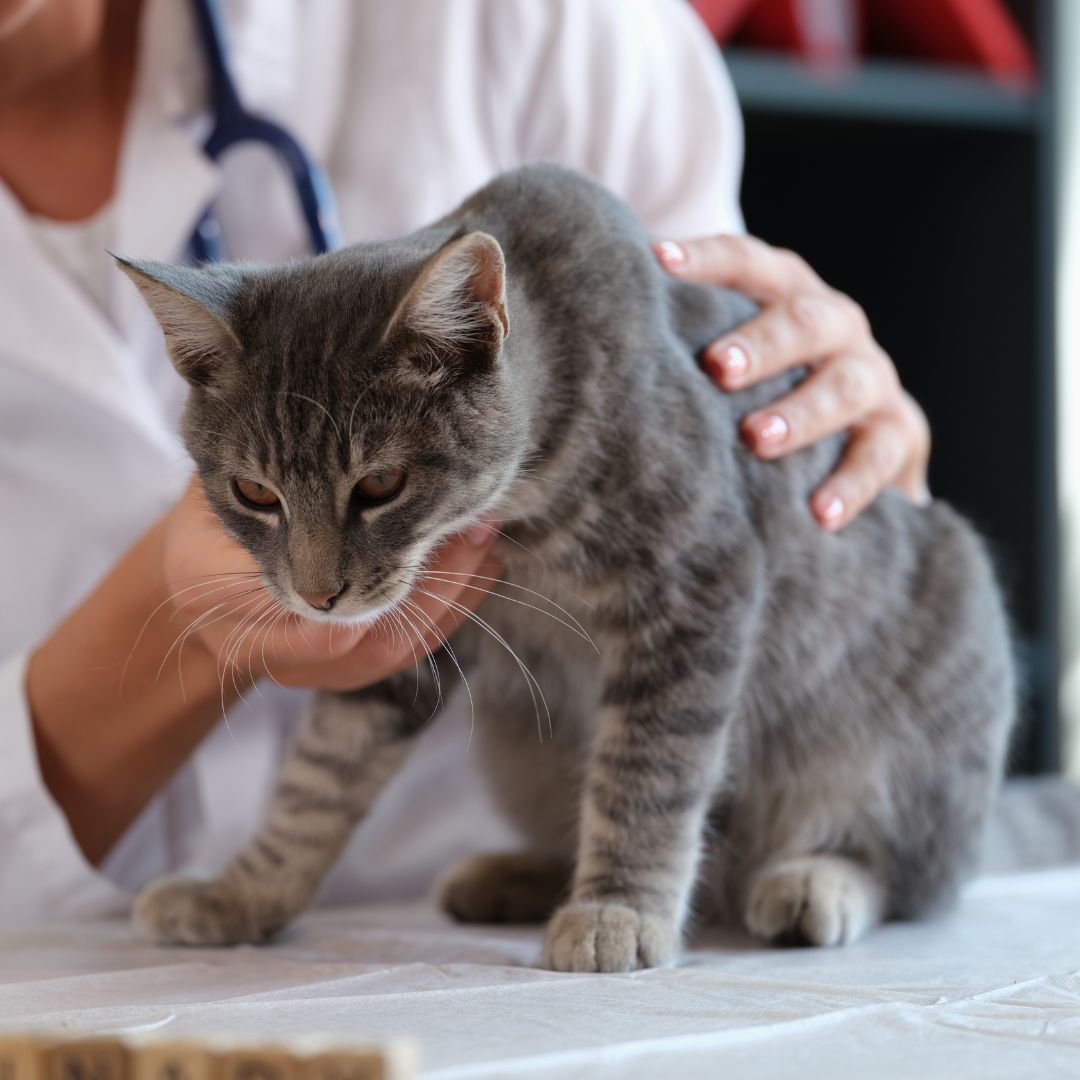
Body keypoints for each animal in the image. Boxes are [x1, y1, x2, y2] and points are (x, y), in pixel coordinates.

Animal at [122, 164, 1015, 976]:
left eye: (379, 485)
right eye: (253, 492)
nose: (318, 595)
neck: (524, 510)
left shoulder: (697, 584)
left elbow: (647, 772)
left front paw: (619, 909)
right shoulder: (409, 642)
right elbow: (319, 777)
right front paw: (244, 892)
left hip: (921, 711)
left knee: (917, 871)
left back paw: (816, 881)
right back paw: (515, 875)